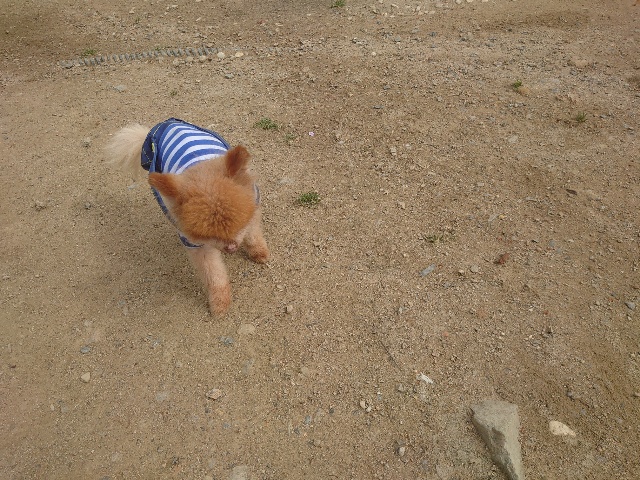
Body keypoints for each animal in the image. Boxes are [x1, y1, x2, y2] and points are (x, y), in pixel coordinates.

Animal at [106, 118, 269, 315]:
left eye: (238, 224)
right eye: (207, 235)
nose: (230, 248)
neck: (197, 164)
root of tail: (165, 125)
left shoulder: (253, 202)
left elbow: (253, 234)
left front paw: (259, 252)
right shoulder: (196, 245)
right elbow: (214, 275)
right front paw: (220, 302)